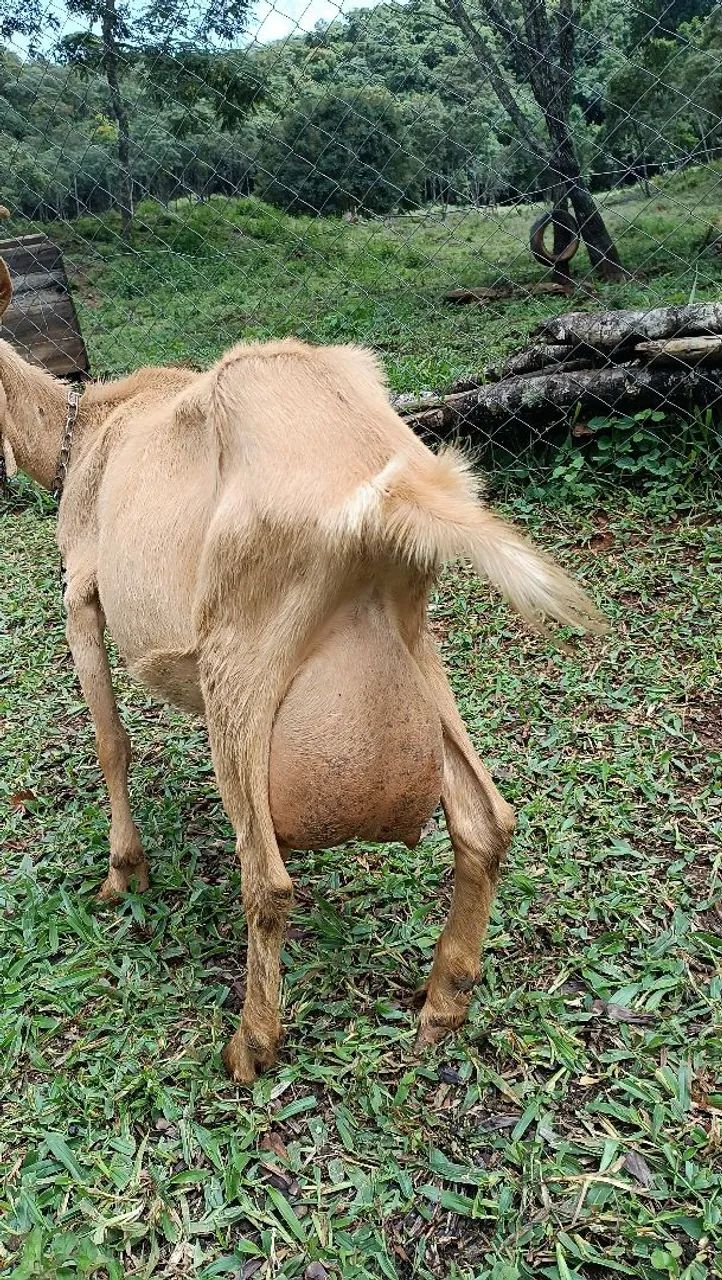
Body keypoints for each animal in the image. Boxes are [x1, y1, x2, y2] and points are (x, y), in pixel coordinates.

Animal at [0, 259, 606, 1081]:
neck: (85, 427)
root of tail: (393, 488)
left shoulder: (80, 596)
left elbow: (111, 744)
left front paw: (123, 874)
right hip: (415, 643)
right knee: (486, 822)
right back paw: (443, 1002)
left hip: (240, 657)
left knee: (267, 879)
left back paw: (252, 1041)